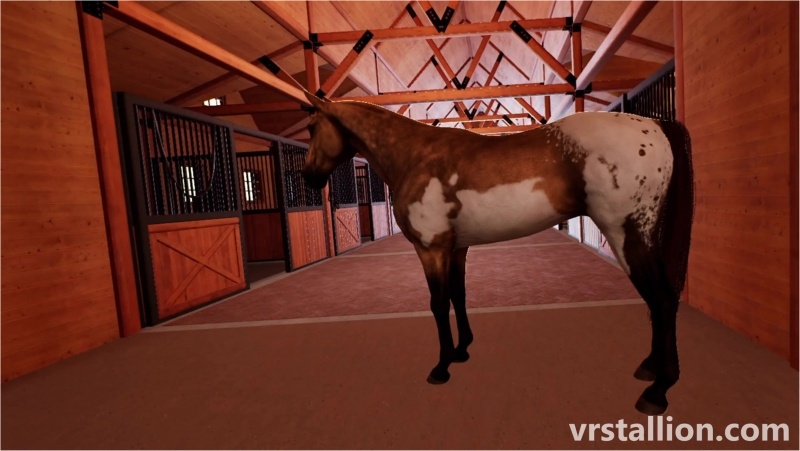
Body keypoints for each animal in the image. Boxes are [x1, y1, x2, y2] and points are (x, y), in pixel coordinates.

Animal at [300, 91, 694, 415]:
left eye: (311, 127)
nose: (308, 177)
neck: (415, 156)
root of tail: (655, 126)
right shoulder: (456, 249)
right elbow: (458, 295)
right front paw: (462, 351)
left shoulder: (431, 249)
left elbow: (438, 304)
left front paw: (441, 367)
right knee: (661, 300)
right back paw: (650, 369)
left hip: (626, 235)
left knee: (660, 299)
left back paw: (658, 391)